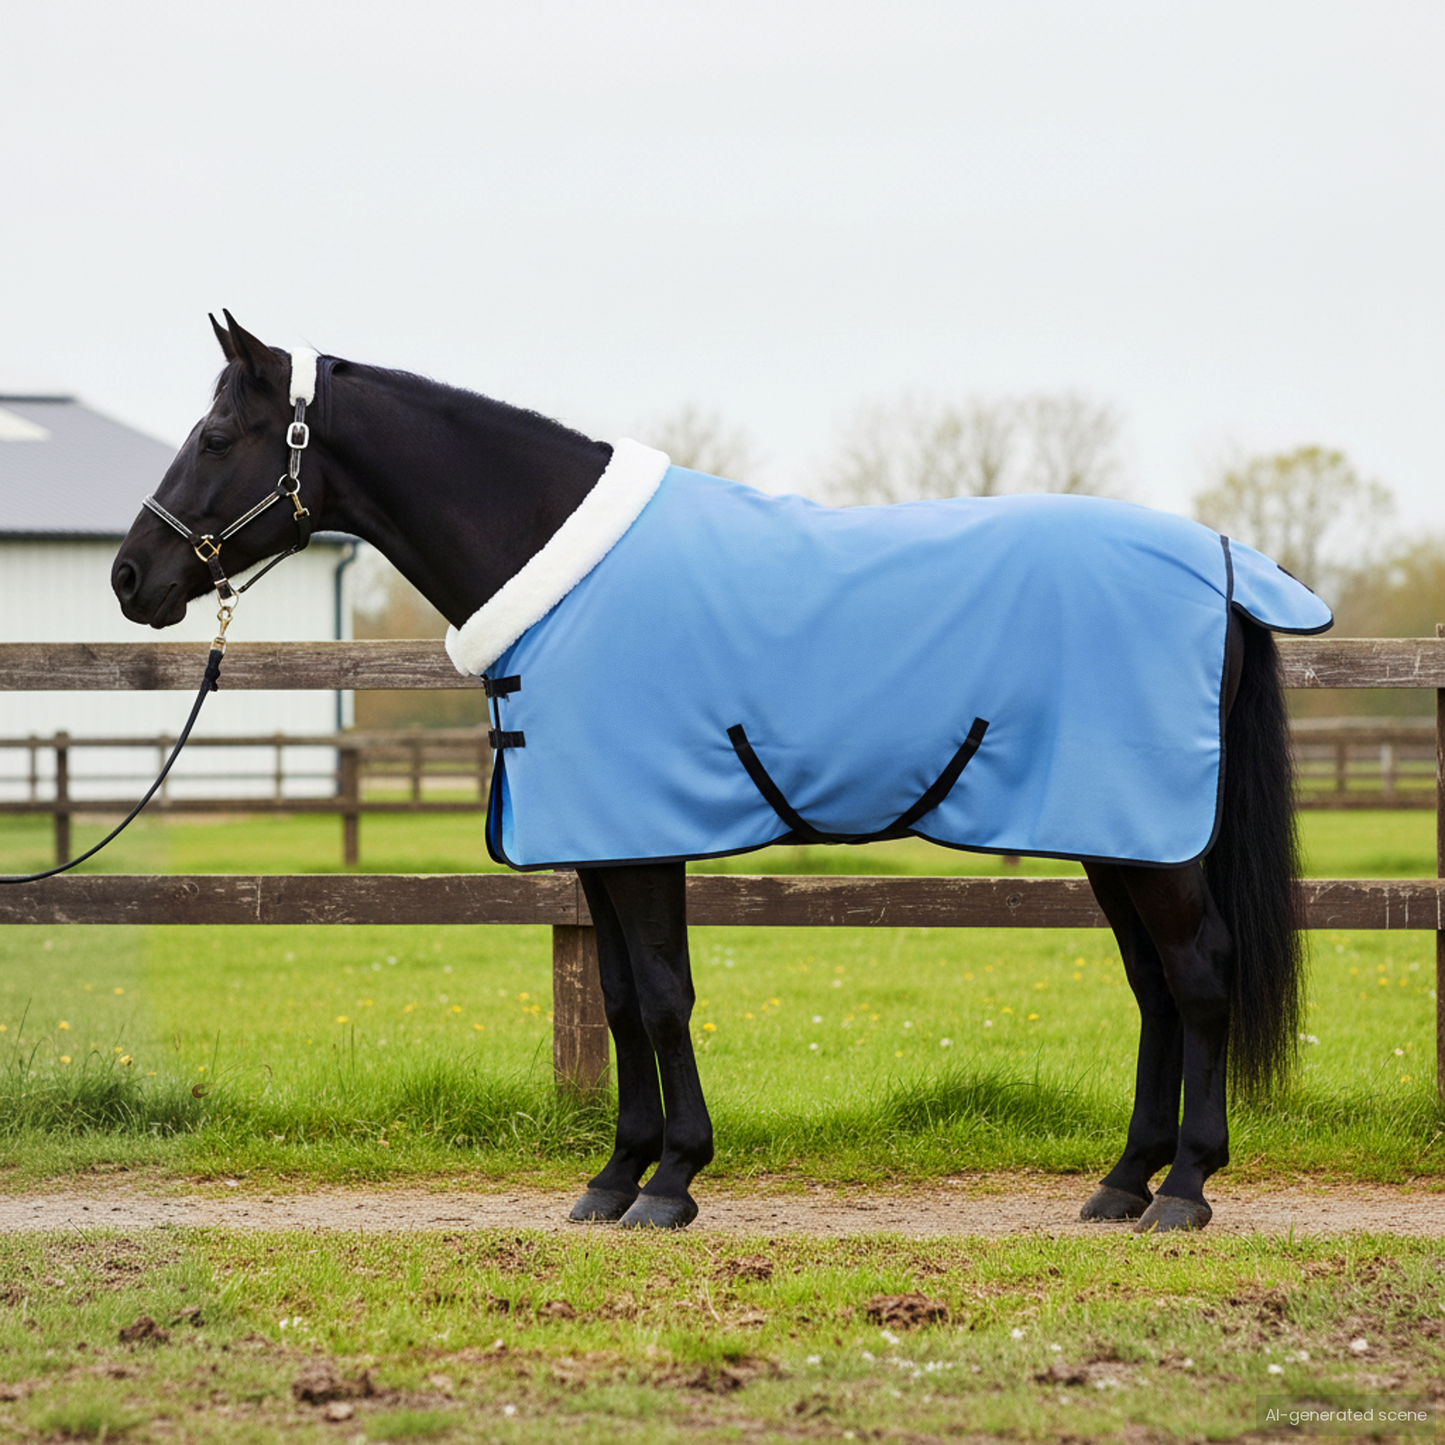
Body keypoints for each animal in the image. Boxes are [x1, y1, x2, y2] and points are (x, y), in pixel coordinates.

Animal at [112, 313, 1328, 1233]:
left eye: (217, 433)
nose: (131, 576)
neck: (559, 569)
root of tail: (1222, 564)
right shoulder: (598, 846)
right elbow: (614, 1001)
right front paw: (614, 1178)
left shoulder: (641, 839)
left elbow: (660, 997)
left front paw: (671, 1182)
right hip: (1115, 834)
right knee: (1154, 987)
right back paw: (1121, 1182)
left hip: (1150, 840)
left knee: (1200, 975)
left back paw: (1183, 1188)